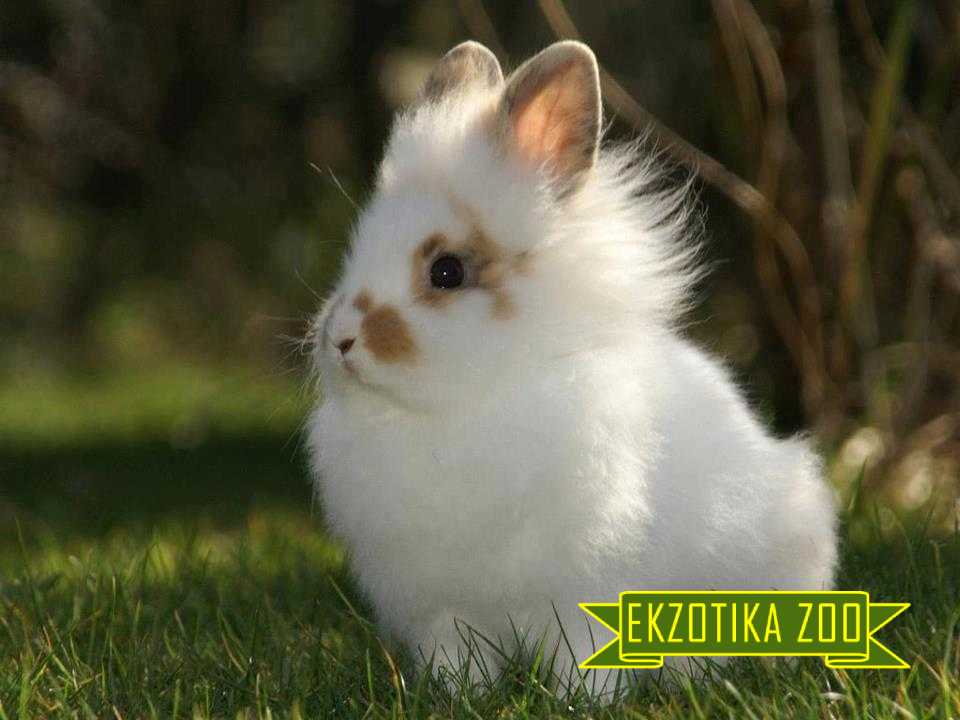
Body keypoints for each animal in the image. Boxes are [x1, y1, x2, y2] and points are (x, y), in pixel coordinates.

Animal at [306, 40, 837, 693]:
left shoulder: (587, 591)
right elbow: (456, 654)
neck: (463, 403)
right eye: (355, 252)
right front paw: (459, 692)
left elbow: (586, 650)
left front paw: (581, 696)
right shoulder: (444, 608)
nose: (340, 340)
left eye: (446, 271)